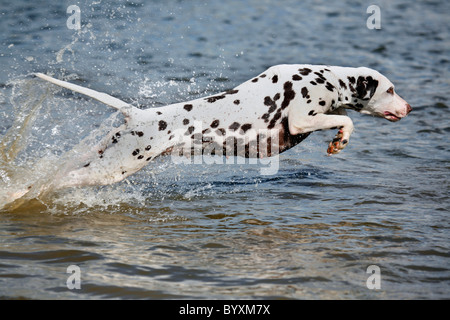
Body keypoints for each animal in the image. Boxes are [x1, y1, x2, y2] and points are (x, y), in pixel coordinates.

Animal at [29, 63, 410, 191]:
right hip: (113, 168)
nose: (409, 107)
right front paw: (340, 139)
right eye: (391, 89)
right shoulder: (302, 118)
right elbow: (346, 118)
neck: (326, 78)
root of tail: (135, 114)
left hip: (102, 156)